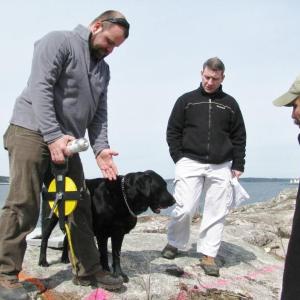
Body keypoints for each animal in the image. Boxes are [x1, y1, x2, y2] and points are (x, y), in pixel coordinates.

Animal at [38, 171, 173, 282]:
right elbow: (103, 254)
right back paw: (43, 261)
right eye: (162, 186)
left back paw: (65, 258)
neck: (123, 197)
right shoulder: (102, 233)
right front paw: (106, 272)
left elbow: (116, 254)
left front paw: (119, 273)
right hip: (51, 217)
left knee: (67, 237)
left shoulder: (118, 233)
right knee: (45, 238)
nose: (174, 200)